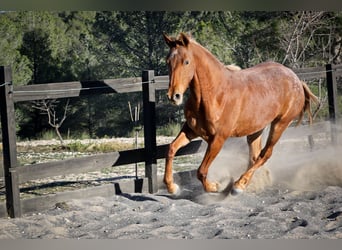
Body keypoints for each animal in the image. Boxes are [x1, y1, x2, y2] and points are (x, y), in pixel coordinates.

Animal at [162, 32, 318, 195]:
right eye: (168, 61)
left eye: (186, 62)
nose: (174, 96)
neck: (215, 94)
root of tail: (297, 80)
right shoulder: (191, 130)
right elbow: (171, 149)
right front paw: (172, 187)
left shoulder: (218, 139)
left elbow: (201, 171)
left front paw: (214, 187)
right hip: (256, 129)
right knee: (255, 156)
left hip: (280, 124)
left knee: (265, 154)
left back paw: (238, 186)